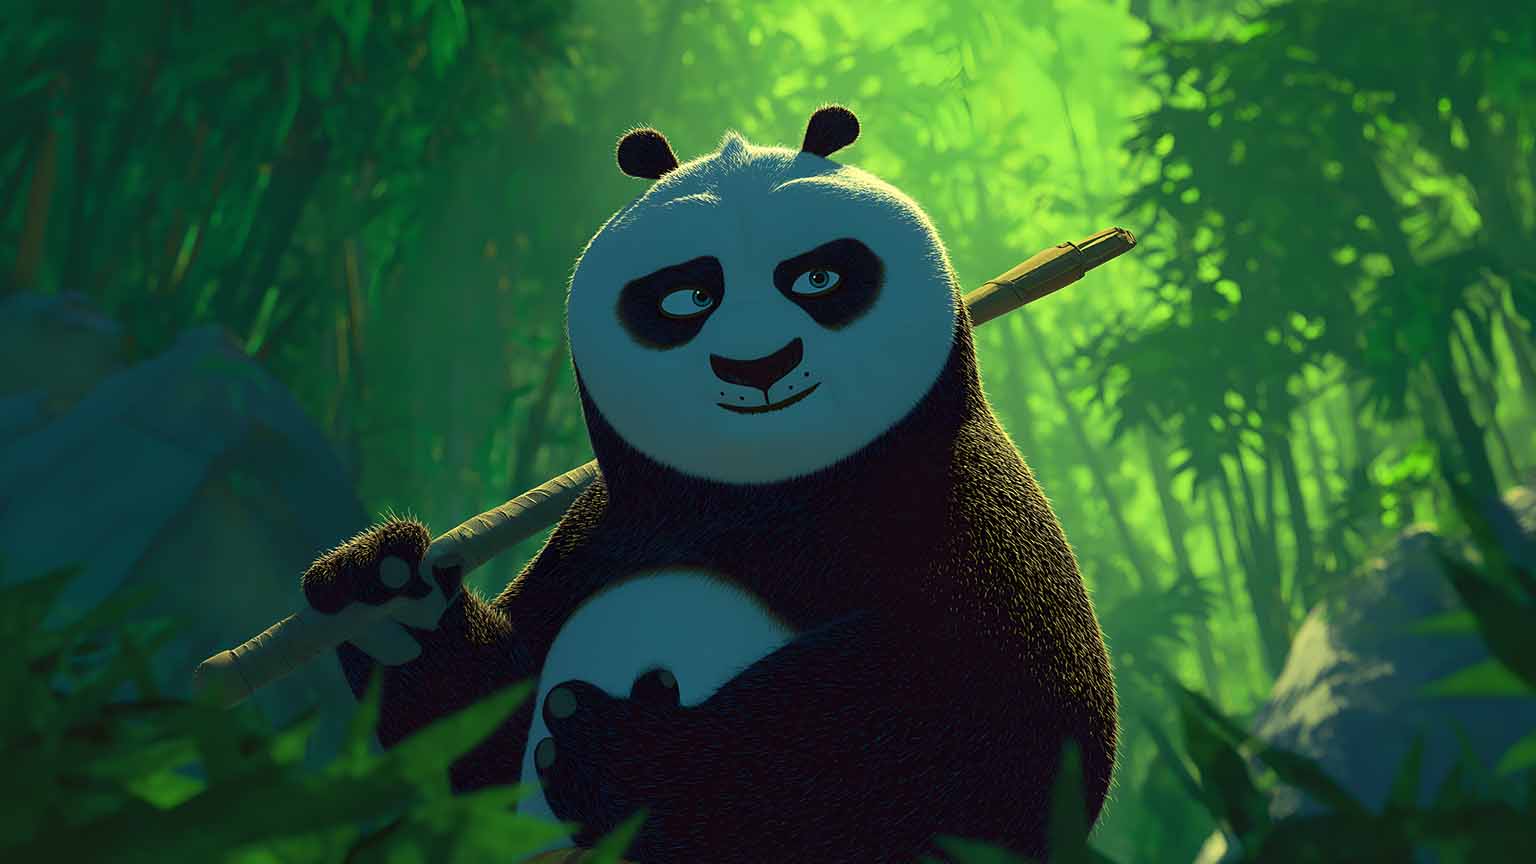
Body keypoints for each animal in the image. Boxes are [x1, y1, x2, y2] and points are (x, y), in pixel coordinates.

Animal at [302, 105, 1118, 863]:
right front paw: (384, 590)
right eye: (688, 297)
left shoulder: (953, 494)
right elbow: (480, 740)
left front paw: (623, 754)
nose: (757, 366)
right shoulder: (603, 530)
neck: (764, 489)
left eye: (818, 277)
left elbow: (998, 717)